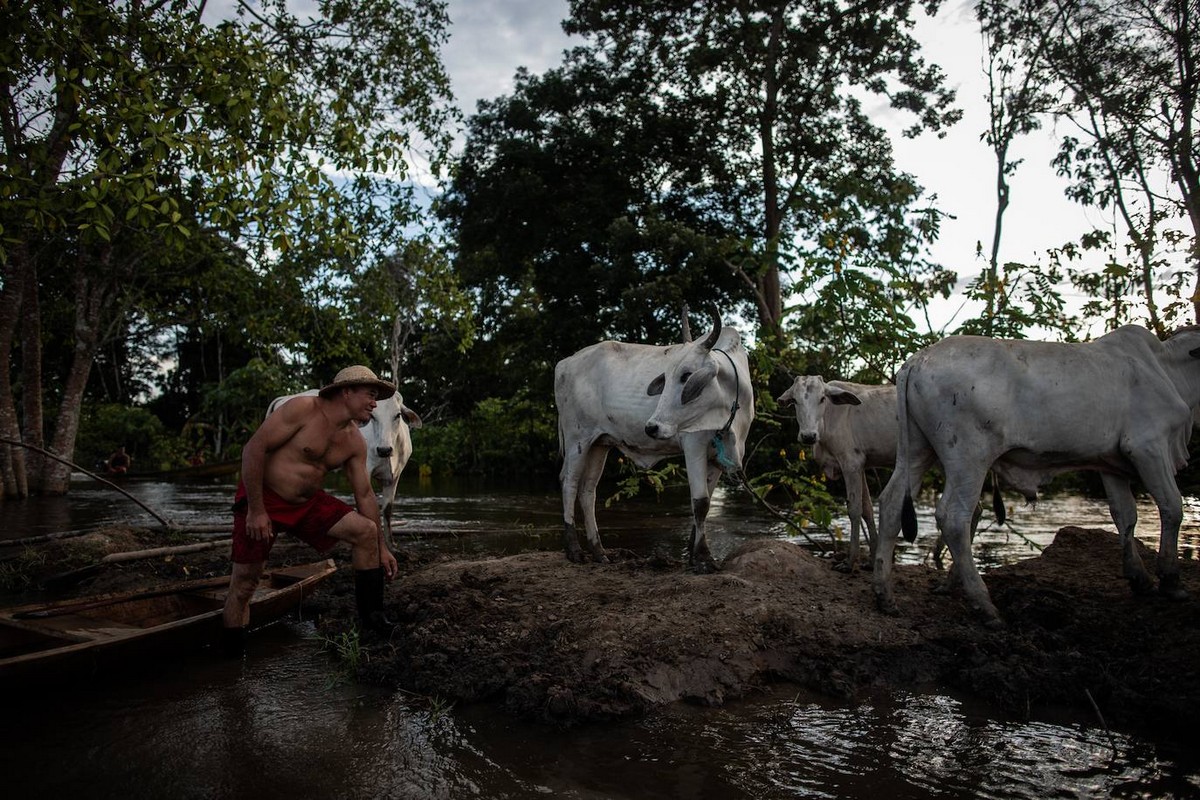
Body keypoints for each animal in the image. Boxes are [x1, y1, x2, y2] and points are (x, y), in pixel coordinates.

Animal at [266, 388, 422, 551]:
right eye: (373, 416)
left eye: (397, 415)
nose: (384, 450)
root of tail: (286, 398)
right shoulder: (365, 469)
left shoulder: (394, 477)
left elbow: (387, 510)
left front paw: (391, 544)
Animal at [549, 309, 748, 573]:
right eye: (666, 376)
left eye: (687, 375)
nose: (651, 427)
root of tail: (565, 363)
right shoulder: (693, 445)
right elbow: (701, 502)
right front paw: (703, 558)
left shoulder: (717, 457)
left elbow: (703, 507)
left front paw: (694, 554)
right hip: (577, 439)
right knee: (569, 482)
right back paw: (574, 550)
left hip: (599, 443)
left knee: (588, 490)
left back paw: (599, 551)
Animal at [772, 379, 897, 573]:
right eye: (795, 400)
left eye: (822, 398)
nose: (808, 436)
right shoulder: (861, 464)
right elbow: (867, 509)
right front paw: (870, 561)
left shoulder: (851, 462)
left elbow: (854, 510)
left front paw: (849, 562)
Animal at [873, 326, 1200, 623]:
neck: (1168, 368)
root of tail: (917, 361)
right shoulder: (1148, 447)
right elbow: (1172, 507)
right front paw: (1170, 580)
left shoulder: (1111, 463)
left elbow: (1125, 515)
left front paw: (1139, 578)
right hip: (968, 457)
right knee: (954, 518)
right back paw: (984, 604)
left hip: (918, 450)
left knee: (891, 503)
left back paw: (885, 596)